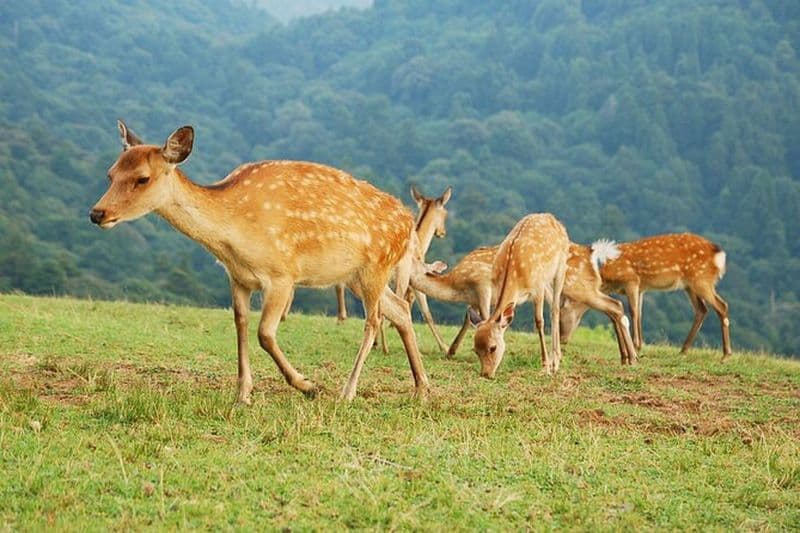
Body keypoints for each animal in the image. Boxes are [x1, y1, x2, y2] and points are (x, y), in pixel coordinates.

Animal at [89, 121, 429, 403]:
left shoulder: (282, 275)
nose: (97, 213)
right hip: (356, 276)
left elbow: (265, 333)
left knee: (374, 321)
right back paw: (421, 387)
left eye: (143, 178)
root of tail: (408, 224)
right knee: (400, 308)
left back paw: (347, 392)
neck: (233, 237)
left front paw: (307, 385)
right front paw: (243, 395)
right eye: (110, 173)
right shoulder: (238, 278)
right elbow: (240, 325)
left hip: (377, 266)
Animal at [411, 240, 638, 365]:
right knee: (614, 308)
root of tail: (592, 253)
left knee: (614, 306)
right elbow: (470, 319)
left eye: (414, 260)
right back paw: (626, 357)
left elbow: (483, 318)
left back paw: (632, 357)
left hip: (579, 287)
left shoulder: (482, 287)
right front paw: (451, 351)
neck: (457, 286)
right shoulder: (476, 299)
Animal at [466, 213, 570, 378]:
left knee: (555, 309)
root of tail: (551, 217)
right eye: (475, 350)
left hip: (561, 266)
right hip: (546, 279)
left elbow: (539, 321)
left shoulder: (537, 287)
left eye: (493, 347)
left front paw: (545, 367)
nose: (485, 374)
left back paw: (555, 364)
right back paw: (557, 359)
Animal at [560, 233, 732, 357]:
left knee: (722, 305)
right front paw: (639, 346)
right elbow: (640, 314)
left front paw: (636, 346)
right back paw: (683, 350)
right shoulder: (642, 288)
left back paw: (726, 354)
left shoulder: (632, 281)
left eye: (561, 316)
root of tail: (719, 254)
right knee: (702, 309)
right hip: (690, 285)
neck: (607, 279)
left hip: (701, 280)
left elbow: (633, 312)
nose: (562, 339)